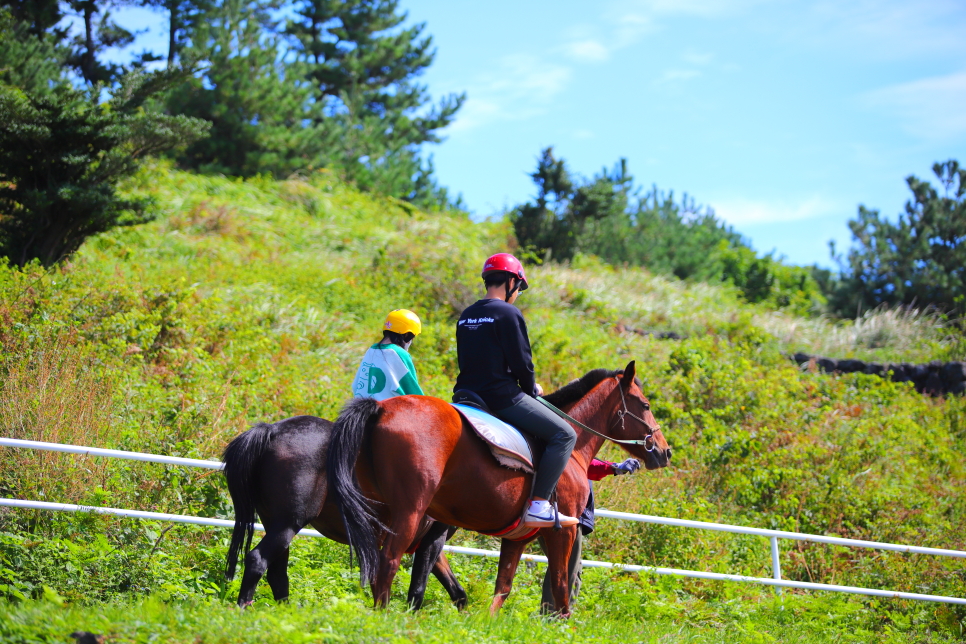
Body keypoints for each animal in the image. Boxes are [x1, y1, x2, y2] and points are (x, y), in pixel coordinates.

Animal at [328, 360, 668, 616]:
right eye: (646, 404)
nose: (665, 451)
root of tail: (381, 408)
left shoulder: (517, 537)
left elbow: (502, 586)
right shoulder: (564, 530)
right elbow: (560, 583)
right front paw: (564, 628)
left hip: (382, 511)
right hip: (409, 512)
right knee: (389, 561)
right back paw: (385, 617)